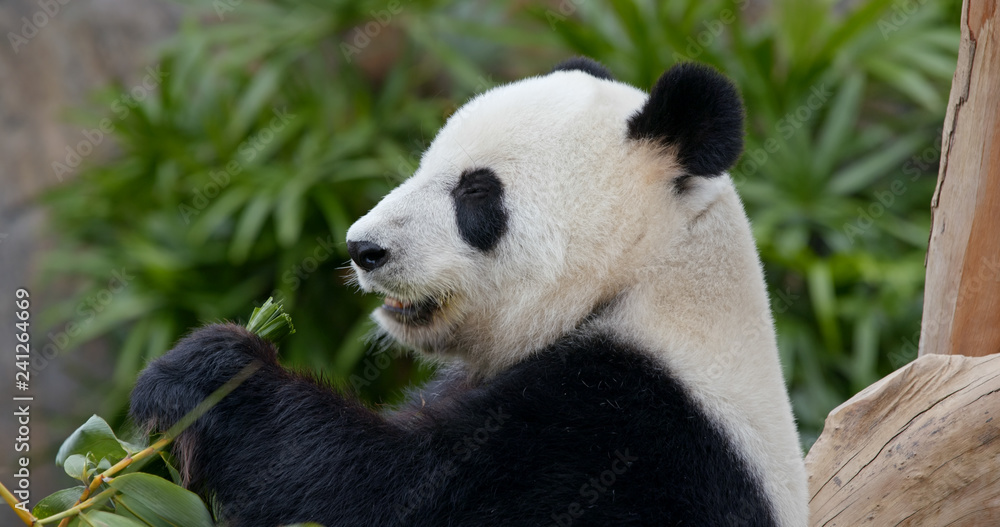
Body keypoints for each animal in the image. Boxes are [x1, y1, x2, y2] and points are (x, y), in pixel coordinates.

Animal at [130, 57, 808, 527]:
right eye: (424, 165)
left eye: (476, 192)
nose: (362, 248)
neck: (649, 276)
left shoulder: (630, 438)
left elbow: (385, 493)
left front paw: (209, 372)